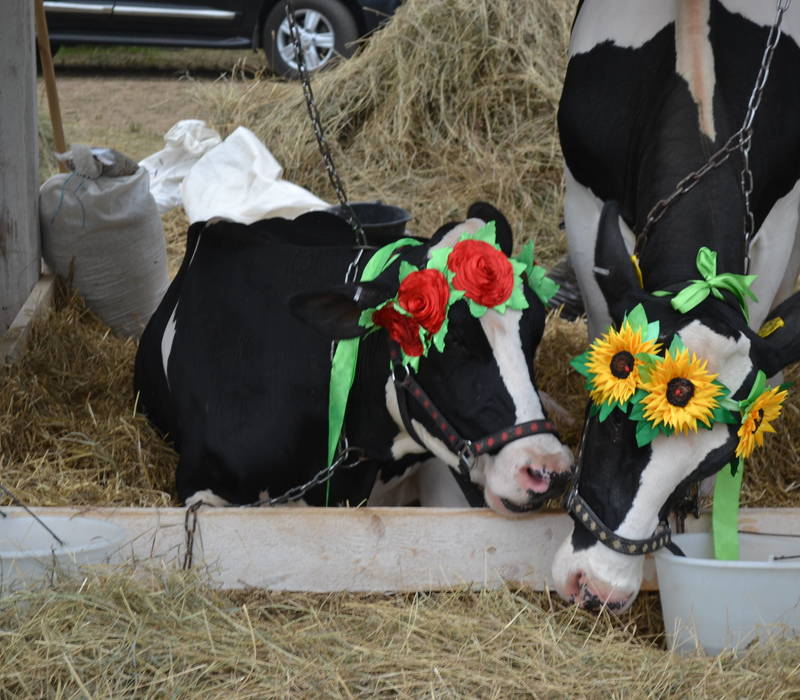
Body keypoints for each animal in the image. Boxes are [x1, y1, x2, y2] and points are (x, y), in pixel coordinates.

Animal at [552, 0, 800, 608]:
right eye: (614, 421)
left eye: (714, 459)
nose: (597, 588)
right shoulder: (584, 201)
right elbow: (602, 315)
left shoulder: (780, 220)